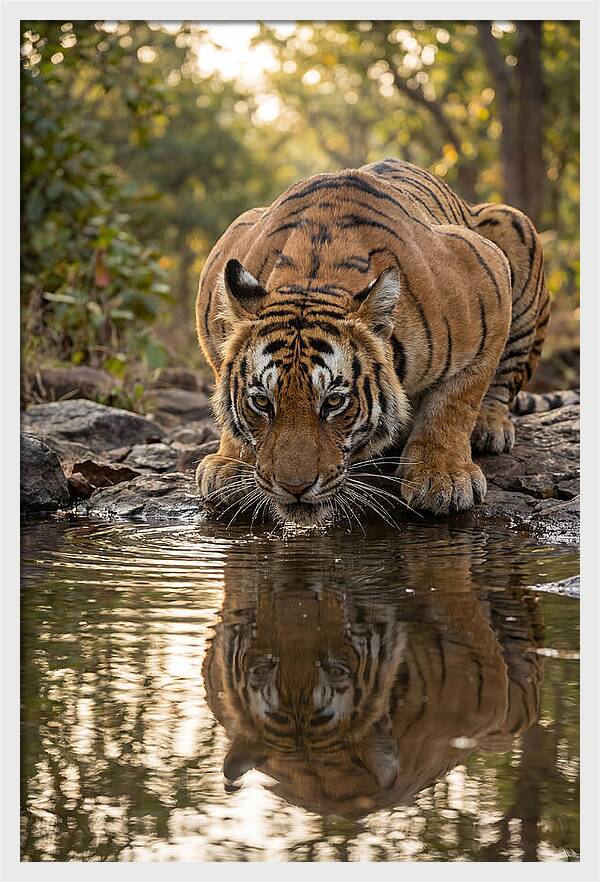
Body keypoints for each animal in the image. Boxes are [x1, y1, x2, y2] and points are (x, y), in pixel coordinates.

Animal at [195, 157, 551, 523]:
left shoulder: (488, 278)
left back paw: (489, 427)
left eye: (334, 402)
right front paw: (229, 464)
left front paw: (443, 478)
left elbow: (456, 399)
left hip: (514, 224)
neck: (313, 277)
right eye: (262, 402)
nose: (295, 487)